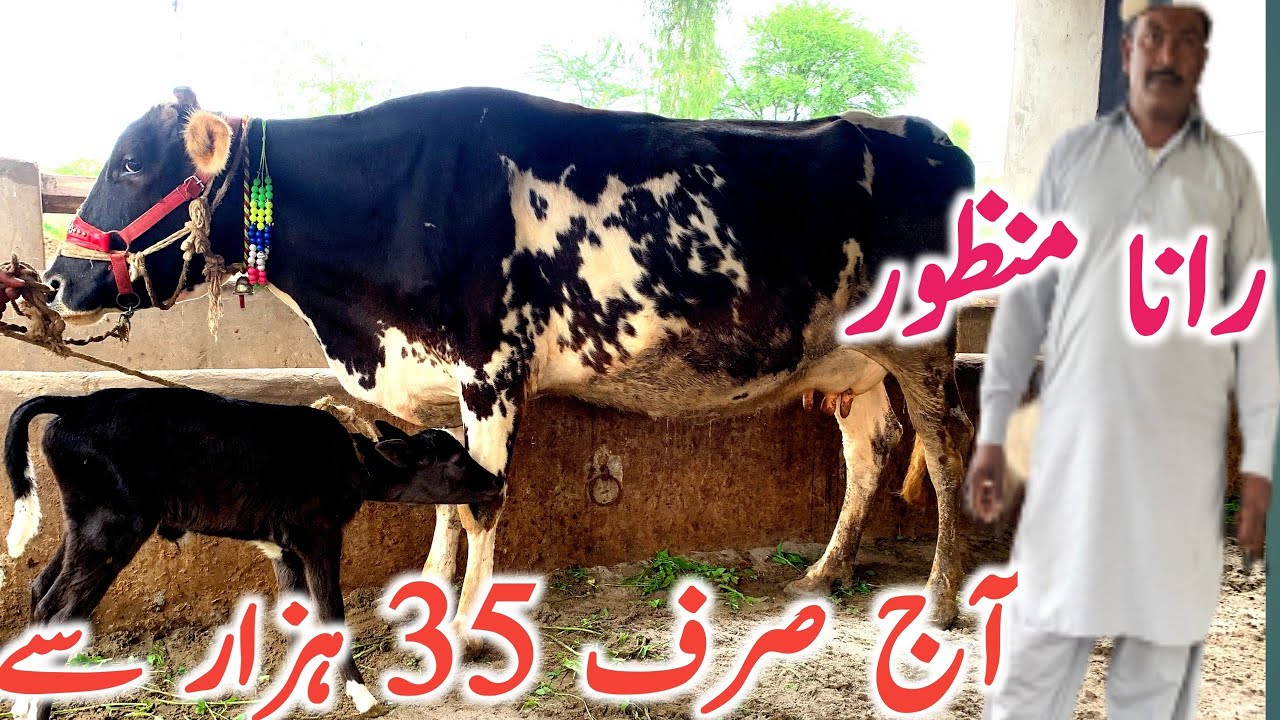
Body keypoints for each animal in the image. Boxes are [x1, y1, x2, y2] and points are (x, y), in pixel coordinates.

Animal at [41, 86, 976, 649]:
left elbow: (484, 502)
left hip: (926, 343)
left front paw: (465, 631)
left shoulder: (493, 368)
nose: (55, 280)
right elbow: (446, 498)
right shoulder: (437, 376)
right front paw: (427, 602)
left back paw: (940, 597)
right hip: (854, 362)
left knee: (948, 449)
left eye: (132, 164)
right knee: (870, 451)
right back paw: (828, 571)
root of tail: (928, 135)